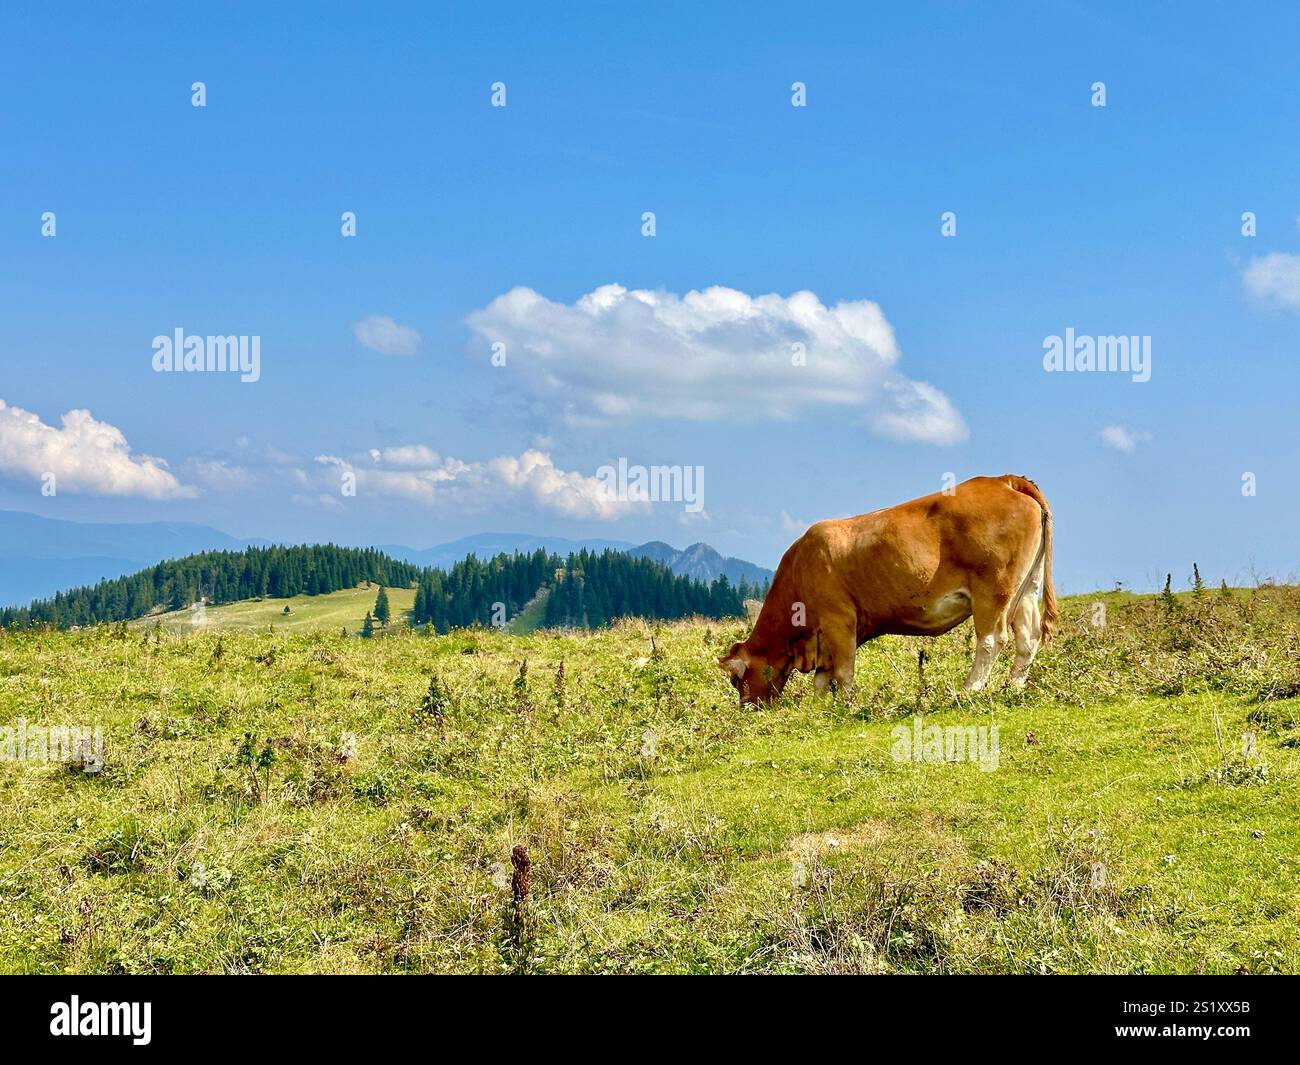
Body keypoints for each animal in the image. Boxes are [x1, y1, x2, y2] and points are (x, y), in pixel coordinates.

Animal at [717, 475, 1057, 704]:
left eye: (736, 679)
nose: (747, 708)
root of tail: (1004, 480)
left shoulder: (839, 619)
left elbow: (843, 671)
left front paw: (846, 705)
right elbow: (822, 677)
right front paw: (819, 706)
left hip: (993, 589)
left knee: (991, 640)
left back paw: (969, 688)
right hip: (1027, 587)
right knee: (1028, 638)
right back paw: (1013, 687)